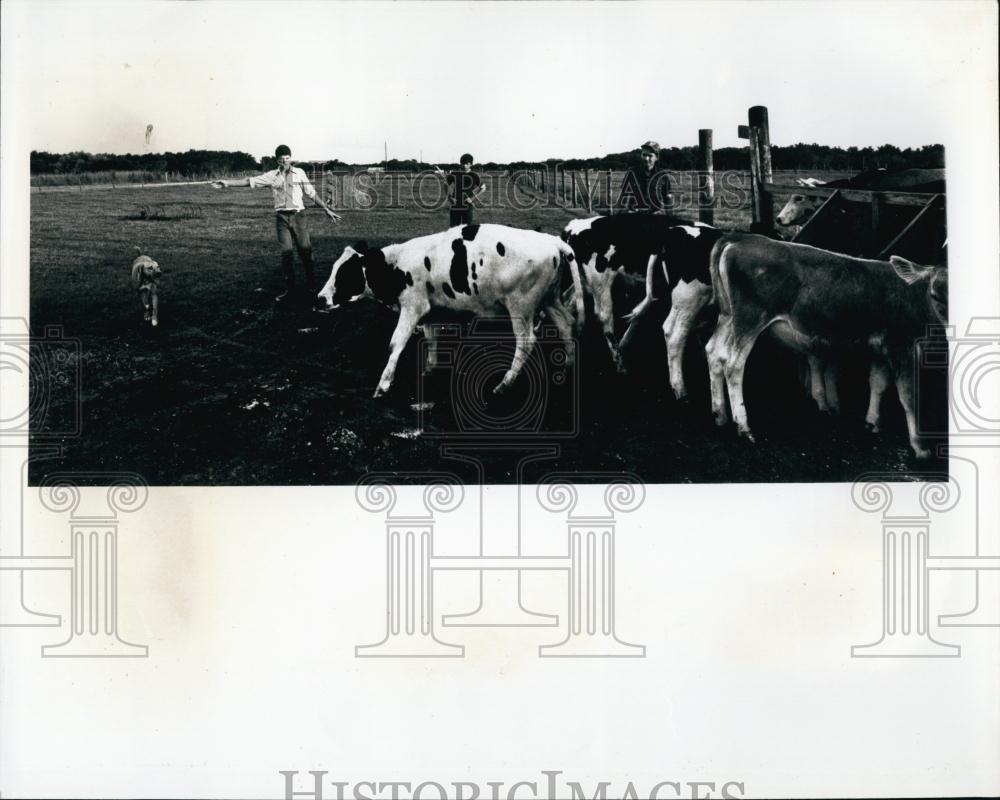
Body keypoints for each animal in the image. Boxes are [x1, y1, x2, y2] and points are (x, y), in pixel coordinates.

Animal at [318, 223, 584, 398]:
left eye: (345, 273)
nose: (320, 298)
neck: (397, 265)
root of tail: (552, 240)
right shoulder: (430, 312)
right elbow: (431, 339)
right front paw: (429, 370)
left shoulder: (412, 307)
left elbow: (396, 344)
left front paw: (383, 386)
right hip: (549, 299)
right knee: (566, 325)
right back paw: (568, 366)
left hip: (521, 305)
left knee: (526, 341)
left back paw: (504, 384)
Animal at [560, 211, 708, 370]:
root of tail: (575, 225)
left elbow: (639, 315)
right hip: (600, 280)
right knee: (604, 316)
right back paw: (619, 362)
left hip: (582, 279)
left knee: (567, 301)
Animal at [704, 233, 944, 456]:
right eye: (935, 295)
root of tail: (741, 237)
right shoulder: (903, 347)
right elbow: (908, 396)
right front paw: (920, 447)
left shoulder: (881, 351)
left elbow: (878, 384)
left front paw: (872, 422)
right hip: (750, 319)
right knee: (733, 365)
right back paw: (743, 427)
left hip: (727, 316)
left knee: (714, 353)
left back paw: (720, 415)